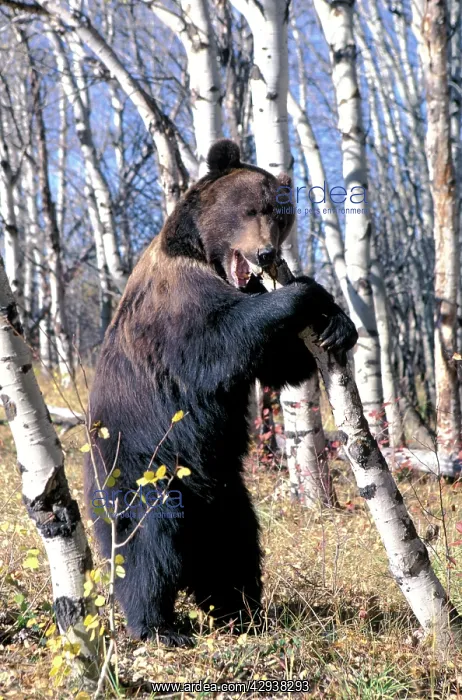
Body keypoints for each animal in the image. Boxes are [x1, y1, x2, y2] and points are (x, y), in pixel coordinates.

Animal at [84, 139, 358, 646]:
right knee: (147, 541)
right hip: (141, 465)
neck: (204, 256)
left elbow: (280, 364)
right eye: (251, 209)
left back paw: (241, 611)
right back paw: (157, 625)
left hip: (223, 488)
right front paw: (305, 291)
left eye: (280, 214)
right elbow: (220, 339)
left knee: (234, 545)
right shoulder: (177, 305)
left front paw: (337, 323)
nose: (267, 253)